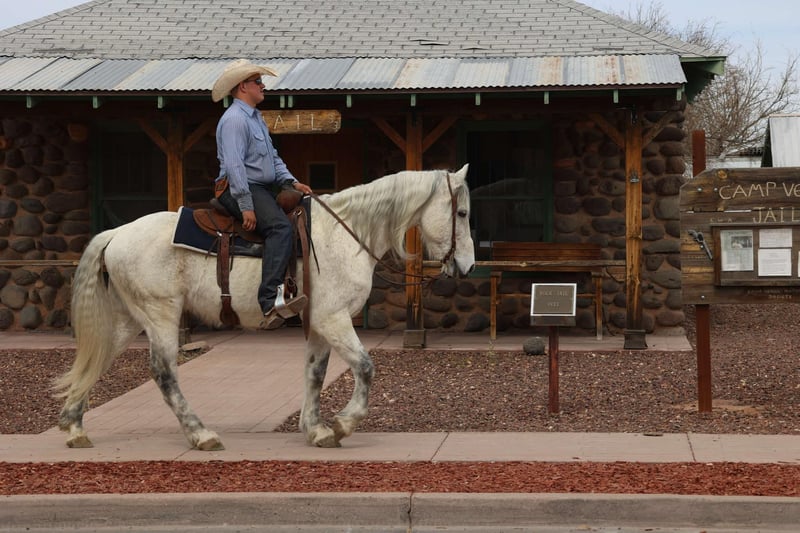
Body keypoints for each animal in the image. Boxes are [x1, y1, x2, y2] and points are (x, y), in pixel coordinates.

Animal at [54, 165, 475, 450]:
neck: (344, 233)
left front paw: (316, 429)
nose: (468, 266)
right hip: (161, 315)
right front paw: (343, 424)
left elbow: (315, 373)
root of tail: (115, 234)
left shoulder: (319, 323)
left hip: (129, 319)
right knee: (163, 372)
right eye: (462, 213)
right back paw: (200, 434)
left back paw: (75, 426)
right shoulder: (334, 318)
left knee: (99, 358)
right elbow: (366, 367)